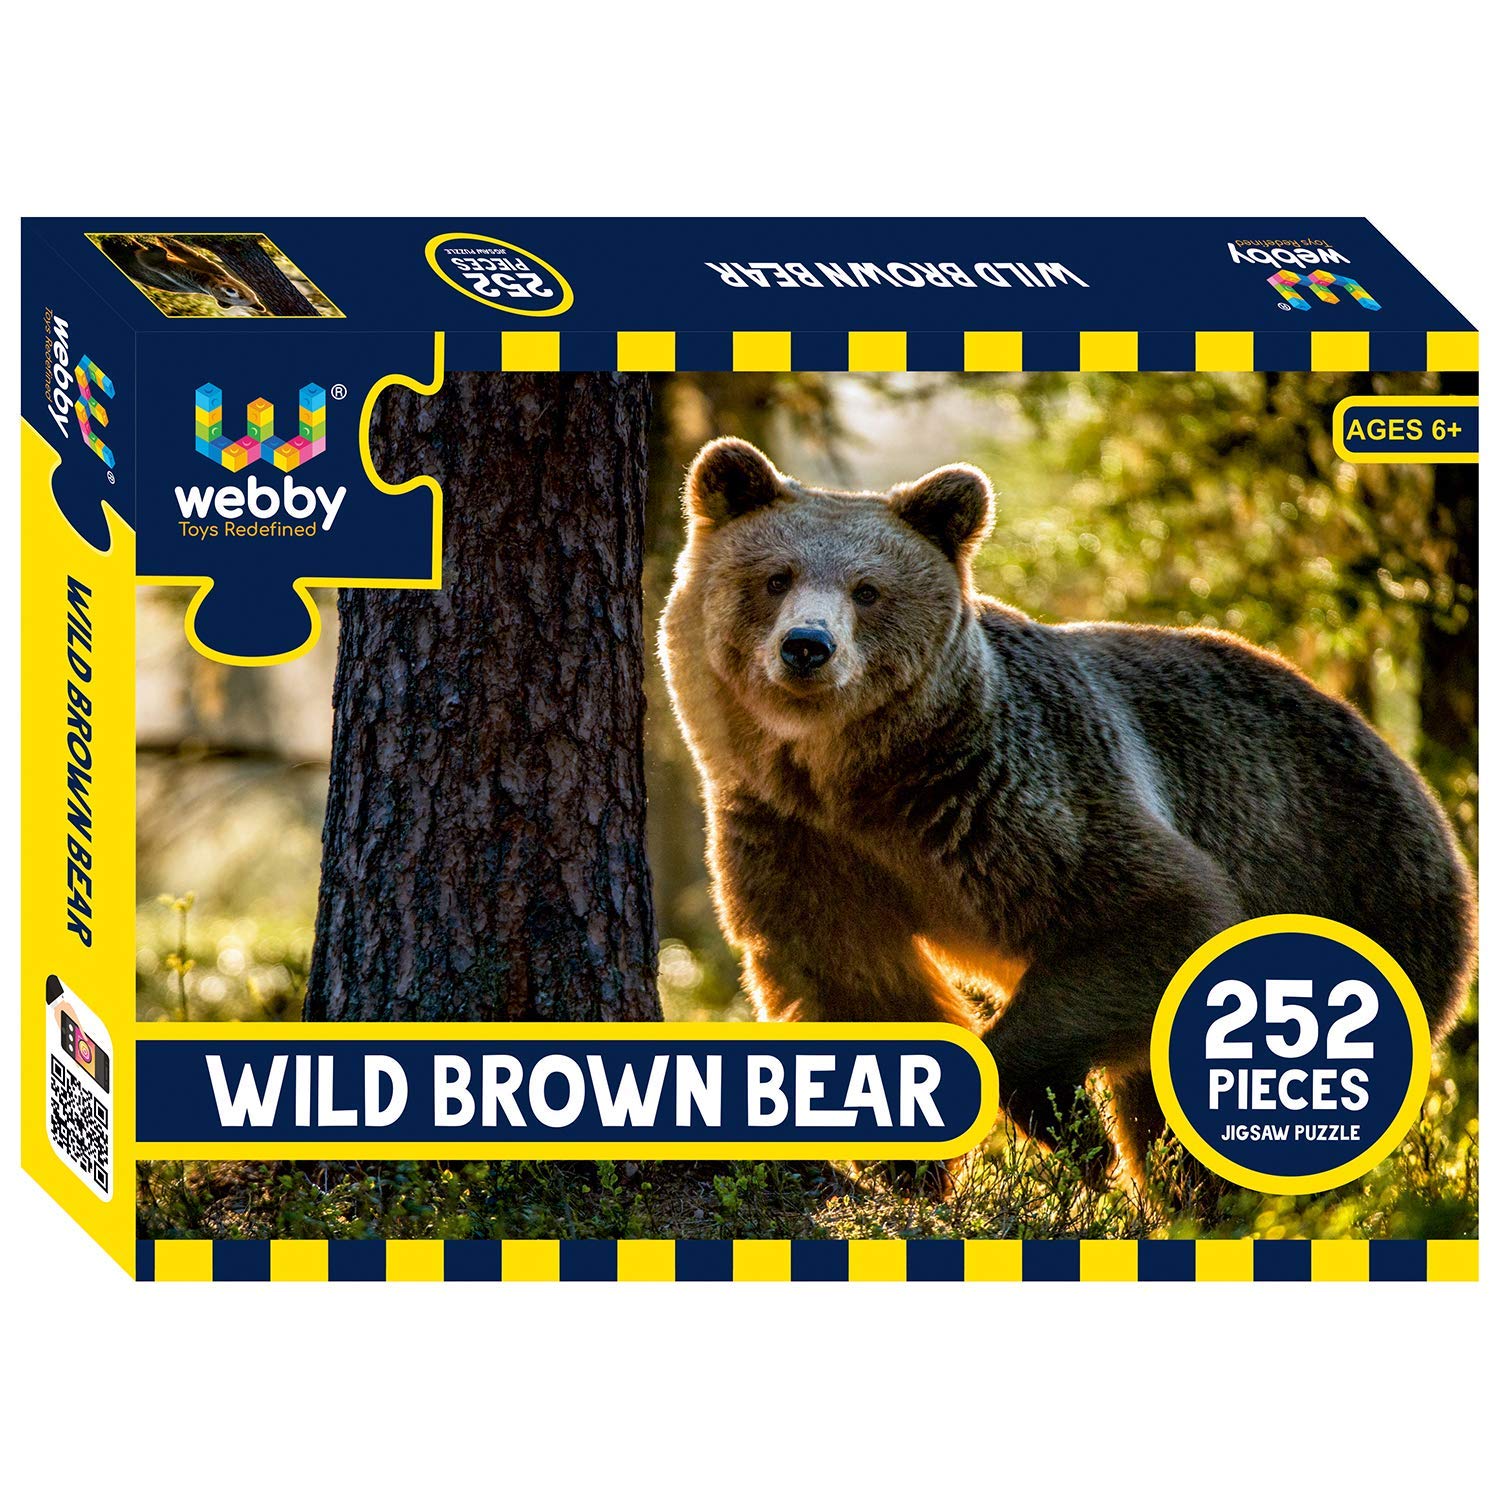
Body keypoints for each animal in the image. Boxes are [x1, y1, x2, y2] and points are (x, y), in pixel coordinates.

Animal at [659, 435, 1476, 1195]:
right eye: (775, 577)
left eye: (868, 590)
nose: (808, 646)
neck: (862, 778)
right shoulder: (795, 833)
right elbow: (848, 976)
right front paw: (909, 1162)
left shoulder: (1008, 797)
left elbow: (1151, 913)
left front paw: (1069, 1133)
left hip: (1364, 896)